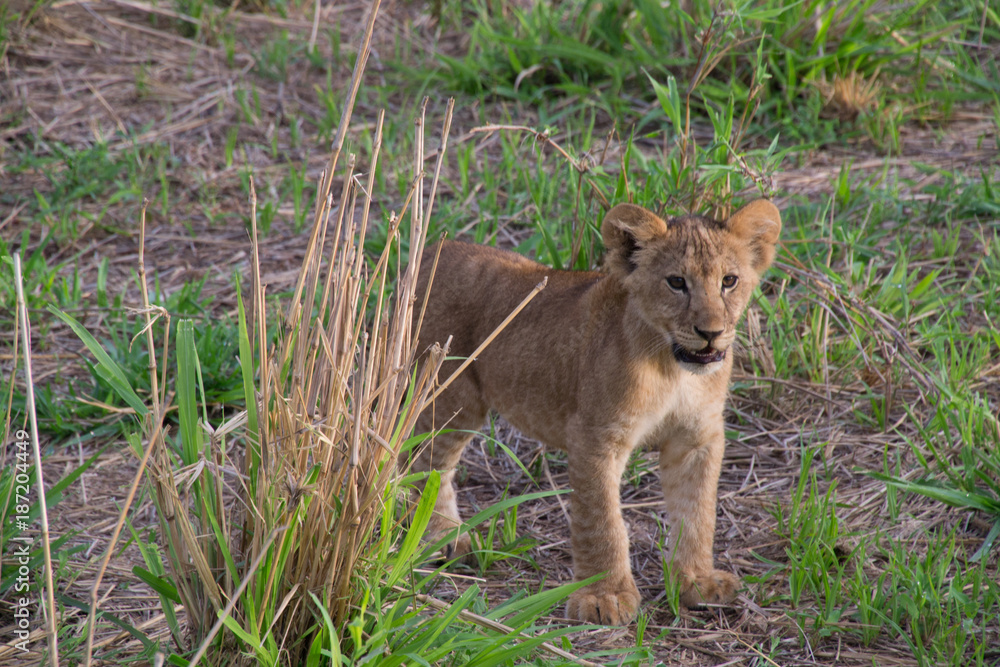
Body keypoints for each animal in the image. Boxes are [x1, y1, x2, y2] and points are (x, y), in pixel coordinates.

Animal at [409, 199, 781, 625]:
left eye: (729, 281)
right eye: (676, 282)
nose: (711, 333)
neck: (674, 370)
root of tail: (435, 250)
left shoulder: (696, 438)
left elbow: (697, 512)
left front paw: (698, 581)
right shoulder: (594, 437)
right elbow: (602, 520)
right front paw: (605, 597)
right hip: (451, 398)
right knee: (425, 464)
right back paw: (442, 540)